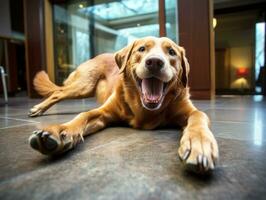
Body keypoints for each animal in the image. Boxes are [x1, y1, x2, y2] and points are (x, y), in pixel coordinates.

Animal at [28, 37, 218, 172]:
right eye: (142, 49)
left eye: (171, 52)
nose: (155, 62)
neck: (145, 110)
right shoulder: (103, 113)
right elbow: (84, 114)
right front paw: (61, 131)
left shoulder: (189, 110)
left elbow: (199, 116)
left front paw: (199, 143)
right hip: (83, 86)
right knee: (58, 93)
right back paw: (39, 108)